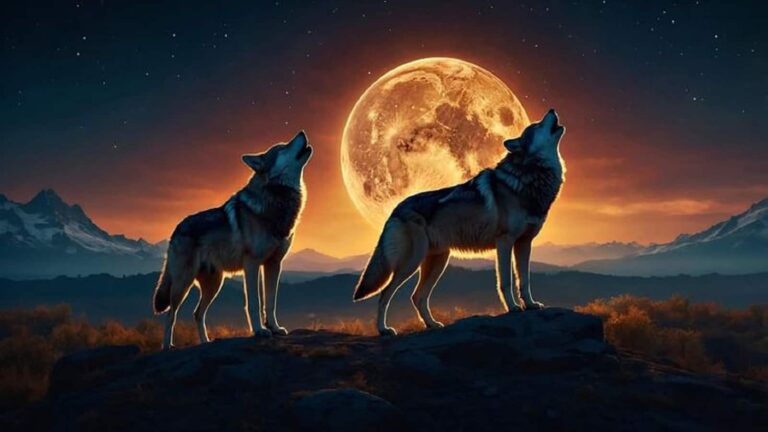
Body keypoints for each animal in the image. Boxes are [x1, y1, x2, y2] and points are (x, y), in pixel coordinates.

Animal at [153, 131, 313, 349]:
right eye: (282, 147)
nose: (302, 132)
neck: (275, 201)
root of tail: (176, 229)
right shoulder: (252, 264)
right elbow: (254, 303)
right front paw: (260, 331)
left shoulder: (274, 264)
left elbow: (271, 302)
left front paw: (275, 328)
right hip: (183, 283)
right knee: (171, 314)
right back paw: (167, 346)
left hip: (214, 284)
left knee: (197, 313)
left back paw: (206, 342)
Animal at [353, 110, 566, 335]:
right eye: (537, 125)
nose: (552, 110)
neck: (531, 178)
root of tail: (395, 209)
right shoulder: (505, 242)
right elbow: (506, 281)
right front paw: (514, 307)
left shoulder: (524, 243)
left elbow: (524, 280)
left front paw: (531, 305)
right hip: (411, 262)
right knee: (385, 294)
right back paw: (384, 329)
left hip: (438, 261)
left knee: (417, 297)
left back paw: (432, 324)